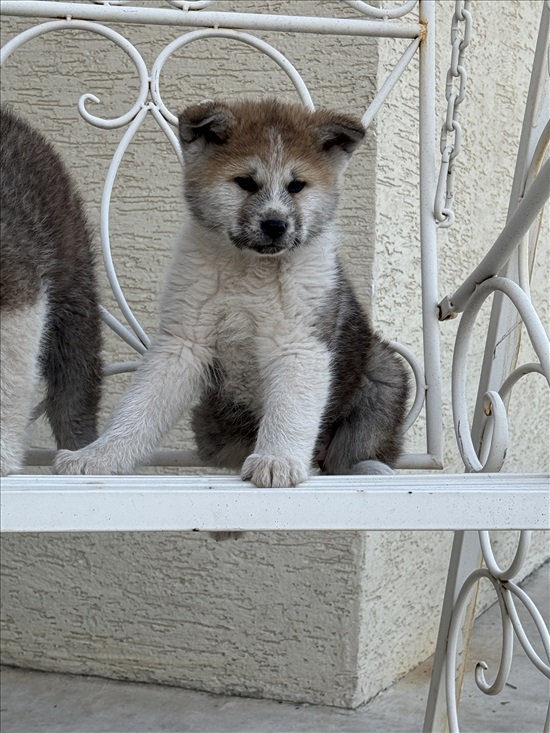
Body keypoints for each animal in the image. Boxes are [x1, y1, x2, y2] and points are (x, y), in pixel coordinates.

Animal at [55, 97, 410, 486]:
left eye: (297, 186)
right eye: (245, 183)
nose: (275, 224)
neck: (251, 271)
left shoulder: (299, 345)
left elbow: (290, 411)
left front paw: (277, 460)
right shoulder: (183, 344)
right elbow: (139, 410)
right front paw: (98, 455)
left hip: (382, 373)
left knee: (348, 454)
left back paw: (370, 467)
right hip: (211, 423)